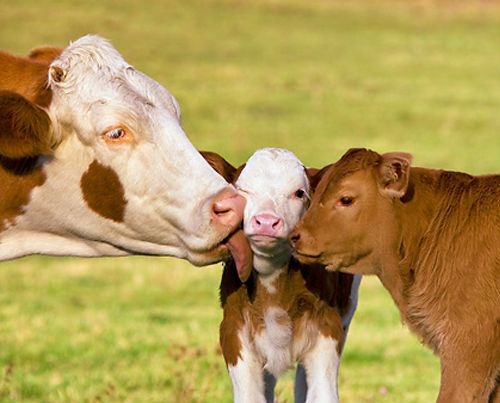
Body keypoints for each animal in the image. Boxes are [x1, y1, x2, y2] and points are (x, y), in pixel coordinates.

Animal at [205, 150, 362, 403]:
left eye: (299, 193)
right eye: (242, 191)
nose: (267, 221)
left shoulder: (328, 329)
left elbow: (322, 394)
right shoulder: (234, 332)